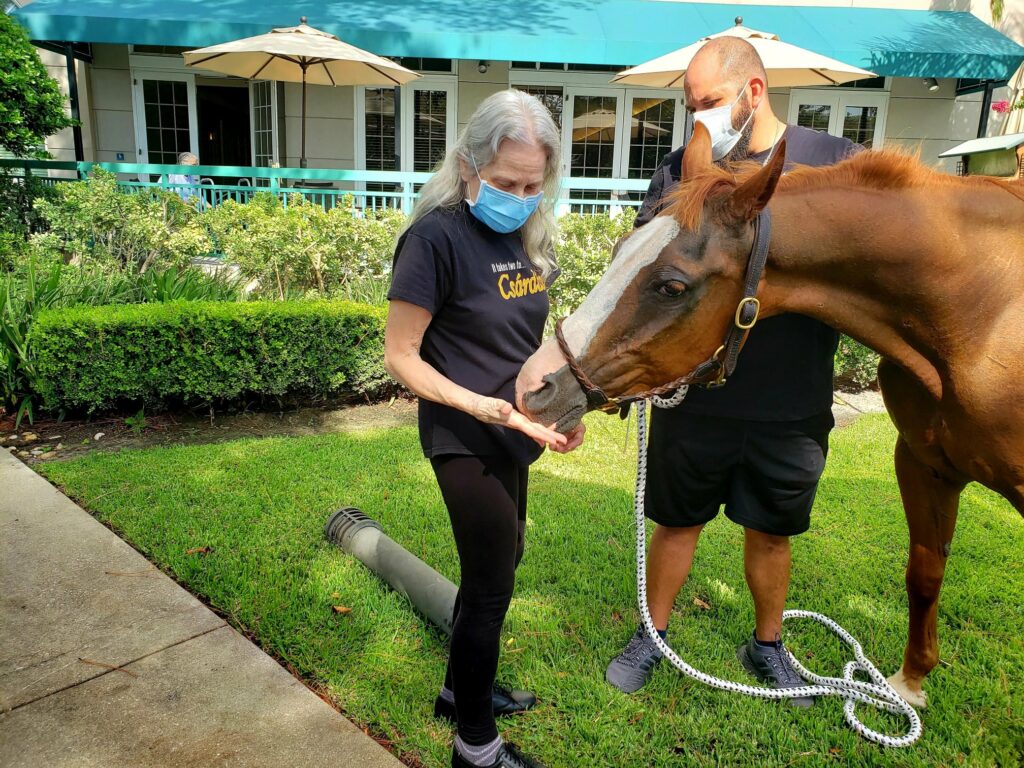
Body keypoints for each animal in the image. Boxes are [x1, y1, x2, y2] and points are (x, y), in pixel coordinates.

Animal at [516, 124, 1024, 708]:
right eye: (621, 249)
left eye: (671, 286)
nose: (533, 386)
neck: (979, 314)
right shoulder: (924, 462)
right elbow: (924, 571)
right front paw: (909, 683)